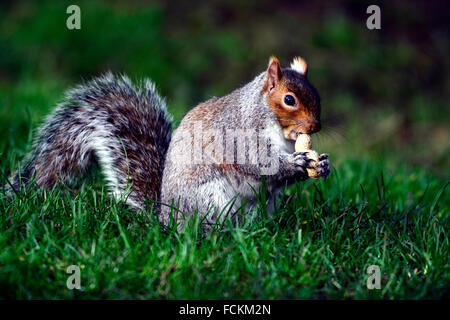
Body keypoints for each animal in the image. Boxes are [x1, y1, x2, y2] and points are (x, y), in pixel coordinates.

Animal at [7, 55, 330, 230]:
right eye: (289, 100)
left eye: (317, 94)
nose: (315, 126)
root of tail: (165, 217)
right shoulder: (240, 132)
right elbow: (258, 163)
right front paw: (297, 164)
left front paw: (320, 164)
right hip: (209, 198)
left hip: (262, 204)